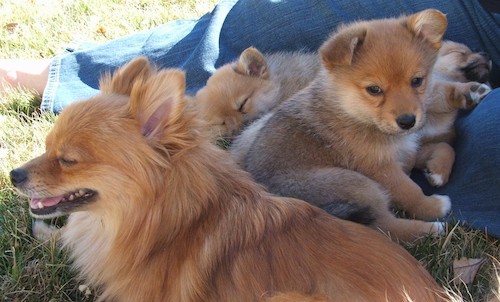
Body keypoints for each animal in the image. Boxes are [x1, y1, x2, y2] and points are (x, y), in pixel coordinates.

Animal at [232, 8, 452, 243]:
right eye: (374, 89)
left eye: (417, 81)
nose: (407, 121)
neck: (354, 113)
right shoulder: (381, 169)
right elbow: (410, 192)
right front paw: (431, 206)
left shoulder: (404, 153)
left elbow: (442, 146)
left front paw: (438, 171)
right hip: (358, 184)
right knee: (384, 227)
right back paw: (431, 228)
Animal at [414, 40, 492, 186]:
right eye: (460, 53)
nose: (487, 54)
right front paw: (470, 91)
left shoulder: (418, 149)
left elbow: (446, 147)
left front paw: (439, 170)